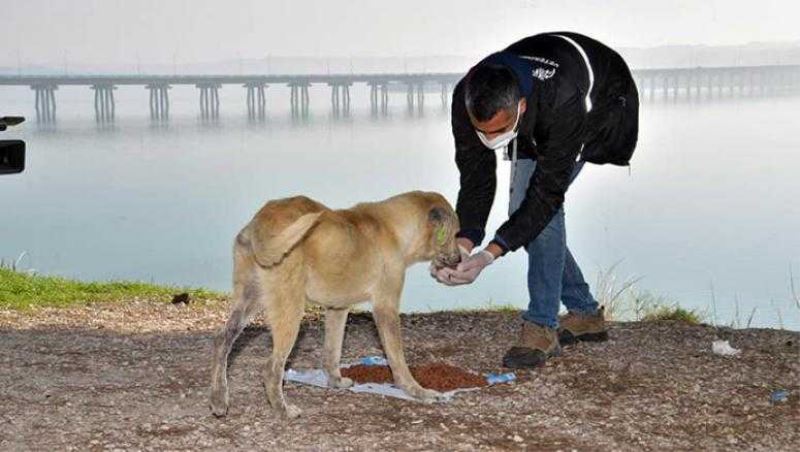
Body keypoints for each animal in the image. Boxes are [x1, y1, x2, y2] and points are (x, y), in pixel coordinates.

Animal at [209, 190, 460, 416]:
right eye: (455, 233)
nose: (459, 259)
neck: (394, 228)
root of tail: (262, 219)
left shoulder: (337, 309)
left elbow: (332, 350)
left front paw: (335, 381)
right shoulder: (385, 306)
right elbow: (397, 358)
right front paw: (418, 391)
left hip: (248, 300)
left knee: (222, 342)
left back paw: (219, 399)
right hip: (289, 311)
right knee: (272, 368)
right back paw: (283, 410)